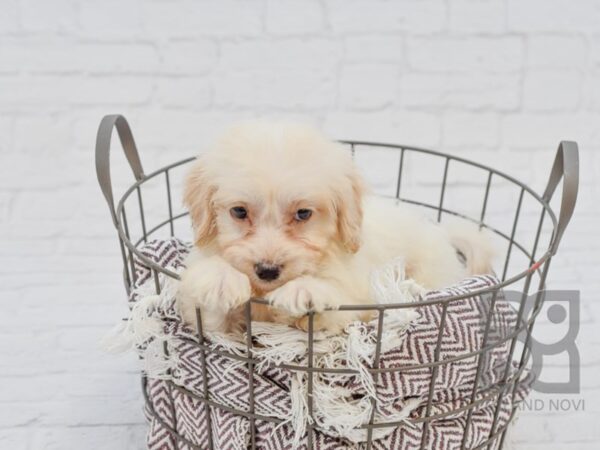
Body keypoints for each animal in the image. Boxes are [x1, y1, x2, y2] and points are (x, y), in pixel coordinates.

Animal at [176, 122, 494, 334]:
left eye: (303, 213)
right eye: (239, 212)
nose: (267, 270)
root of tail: (438, 231)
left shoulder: (350, 314)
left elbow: (332, 307)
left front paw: (305, 290)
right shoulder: (217, 328)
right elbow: (212, 314)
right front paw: (220, 279)